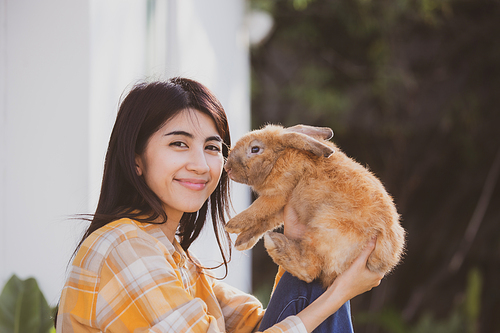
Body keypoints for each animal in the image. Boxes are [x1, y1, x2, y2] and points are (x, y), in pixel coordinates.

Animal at [225, 124, 404, 286]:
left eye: (255, 149)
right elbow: (265, 222)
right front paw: (242, 241)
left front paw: (231, 225)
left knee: (310, 270)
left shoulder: (277, 195)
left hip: (324, 228)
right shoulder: (281, 208)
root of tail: (385, 259)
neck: (280, 156)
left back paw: (276, 243)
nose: (227, 168)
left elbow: (257, 210)